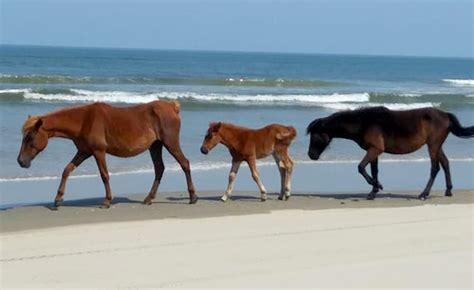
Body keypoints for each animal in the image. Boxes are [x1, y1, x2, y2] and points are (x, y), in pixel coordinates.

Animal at [17, 101, 197, 207]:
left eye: (30, 137)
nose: (21, 161)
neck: (84, 120)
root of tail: (172, 106)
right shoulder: (83, 152)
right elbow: (67, 170)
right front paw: (58, 199)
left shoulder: (98, 152)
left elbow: (104, 175)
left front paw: (107, 201)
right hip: (155, 146)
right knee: (159, 169)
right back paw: (148, 199)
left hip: (170, 143)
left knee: (184, 164)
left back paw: (192, 197)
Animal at [308, 106, 474, 199]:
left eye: (315, 135)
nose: (311, 155)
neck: (364, 123)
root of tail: (445, 114)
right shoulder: (373, 151)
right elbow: (373, 171)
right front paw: (373, 191)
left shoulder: (375, 149)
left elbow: (360, 167)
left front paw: (377, 186)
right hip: (436, 146)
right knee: (445, 163)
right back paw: (448, 191)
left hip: (433, 146)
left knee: (435, 167)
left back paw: (424, 194)